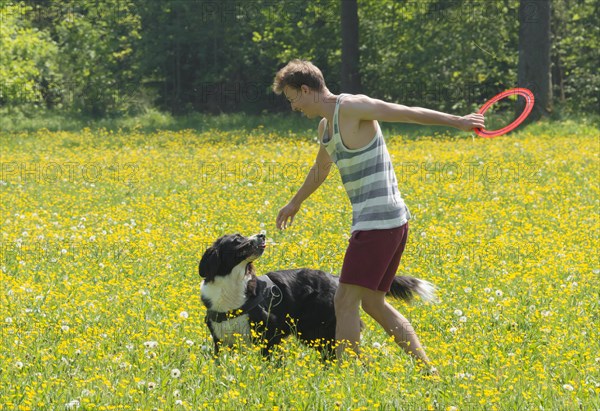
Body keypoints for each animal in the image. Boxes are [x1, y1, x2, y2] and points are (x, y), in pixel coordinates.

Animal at [199, 233, 438, 358]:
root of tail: (335, 277)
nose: (262, 234)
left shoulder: (269, 334)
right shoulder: (220, 341)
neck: (232, 286)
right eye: (237, 240)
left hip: (320, 331)